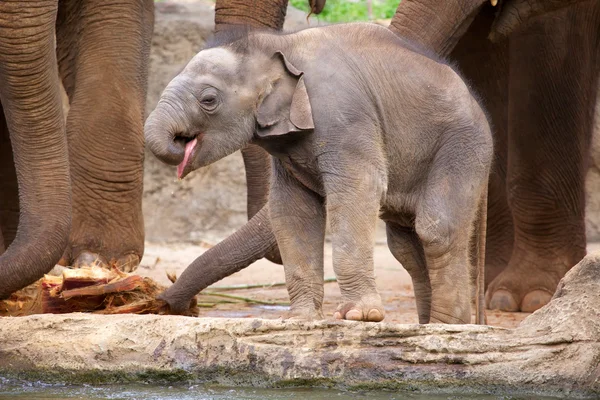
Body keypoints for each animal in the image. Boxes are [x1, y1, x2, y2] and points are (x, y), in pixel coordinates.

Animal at [145, 22, 492, 324]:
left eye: (209, 100)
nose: (164, 302)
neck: (279, 44)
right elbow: (291, 211)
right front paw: (300, 319)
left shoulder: (344, 116)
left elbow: (359, 188)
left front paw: (360, 316)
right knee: (405, 246)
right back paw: (429, 324)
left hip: (462, 146)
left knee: (436, 231)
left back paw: (446, 326)